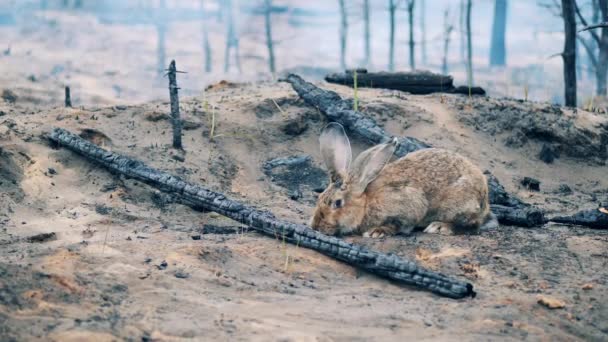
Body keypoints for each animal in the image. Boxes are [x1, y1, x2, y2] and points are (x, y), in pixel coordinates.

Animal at [308, 123, 494, 238]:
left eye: (337, 203)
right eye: (319, 198)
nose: (316, 226)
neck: (366, 203)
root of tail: (484, 197)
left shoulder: (408, 205)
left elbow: (400, 224)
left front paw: (377, 231)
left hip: (459, 205)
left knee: (473, 224)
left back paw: (440, 227)